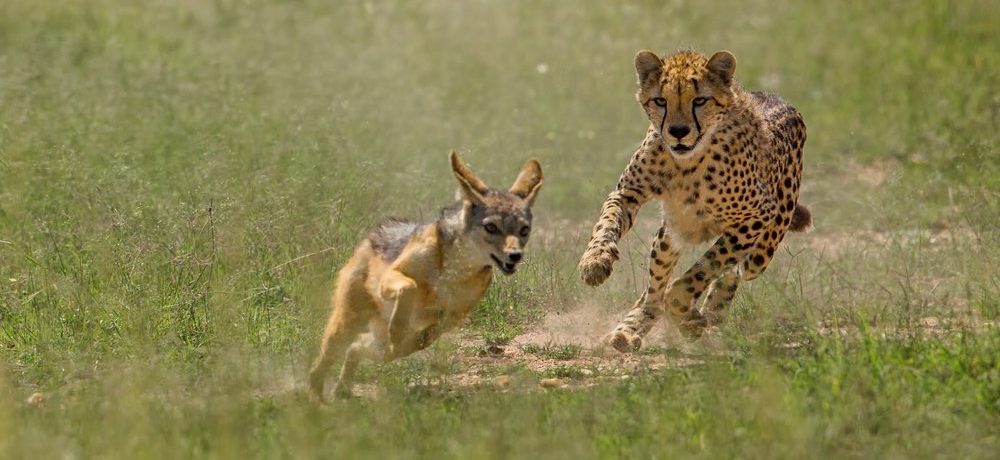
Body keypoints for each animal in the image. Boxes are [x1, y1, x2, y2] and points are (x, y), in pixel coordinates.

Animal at [584, 49, 808, 352]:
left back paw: (706, 315)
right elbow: (606, 223)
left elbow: (704, 269)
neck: (686, 162)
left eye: (699, 100)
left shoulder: (758, 215)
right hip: (670, 236)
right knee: (653, 291)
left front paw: (687, 312)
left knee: (734, 272)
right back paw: (629, 331)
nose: (678, 131)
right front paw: (595, 261)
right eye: (660, 101)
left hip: (763, 250)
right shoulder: (627, 193)